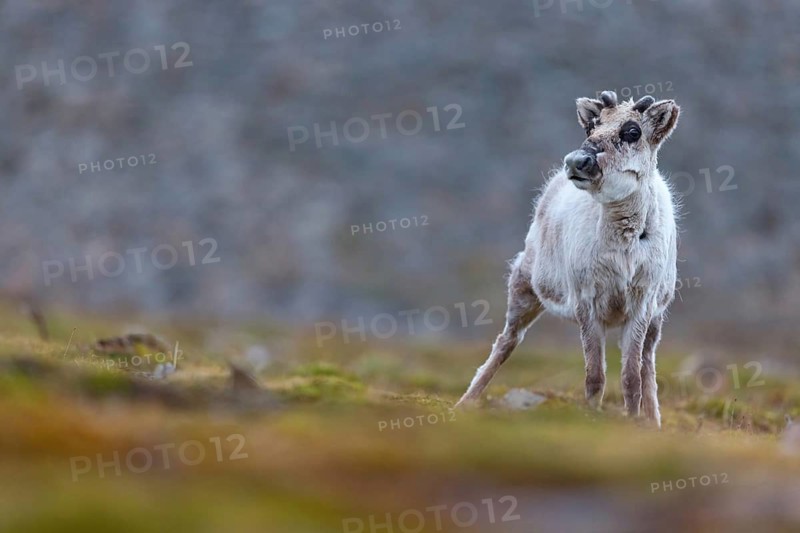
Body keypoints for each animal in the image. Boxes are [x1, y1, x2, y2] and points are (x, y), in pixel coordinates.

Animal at [455, 90, 680, 427]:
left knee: (648, 364)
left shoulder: (642, 304)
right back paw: (464, 402)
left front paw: (635, 423)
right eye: (591, 126)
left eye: (632, 131)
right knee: (506, 341)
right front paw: (591, 419)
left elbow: (631, 378)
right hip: (523, 285)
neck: (623, 242)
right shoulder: (586, 301)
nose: (577, 161)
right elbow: (595, 376)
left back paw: (653, 422)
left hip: (657, 317)